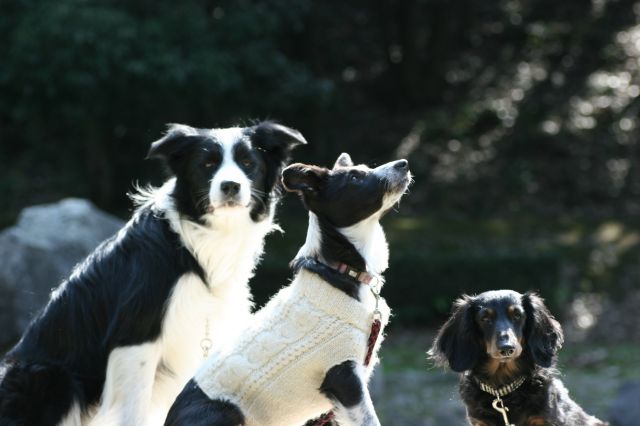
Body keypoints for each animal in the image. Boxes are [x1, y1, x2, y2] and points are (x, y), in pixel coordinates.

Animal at [0, 121, 306, 426]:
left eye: (248, 163)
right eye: (207, 164)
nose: (230, 185)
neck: (195, 248)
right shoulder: (136, 336)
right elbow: (134, 410)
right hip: (49, 376)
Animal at [164, 153, 412, 426]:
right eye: (355, 177)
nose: (403, 164)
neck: (341, 269)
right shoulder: (344, 377)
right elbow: (369, 419)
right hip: (226, 413)